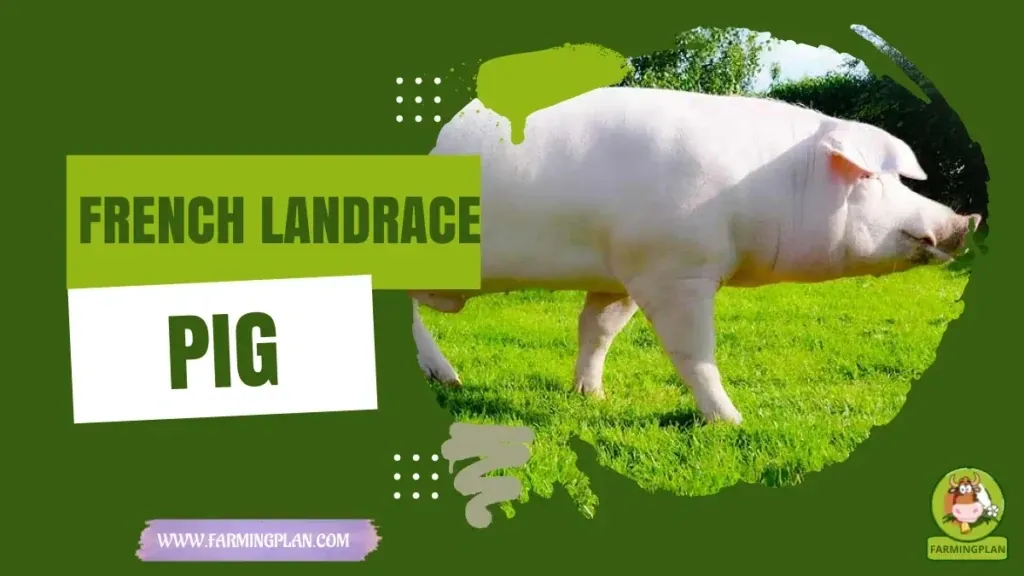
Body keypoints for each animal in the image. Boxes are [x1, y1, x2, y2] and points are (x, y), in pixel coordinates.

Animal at [410, 86, 981, 425]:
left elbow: (597, 330)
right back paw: (449, 379)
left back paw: (450, 381)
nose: (963, 222)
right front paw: (732, 421)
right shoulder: (673, 270)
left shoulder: (620, 273)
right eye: (866, 176)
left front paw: (591, 397)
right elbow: (693, 352)